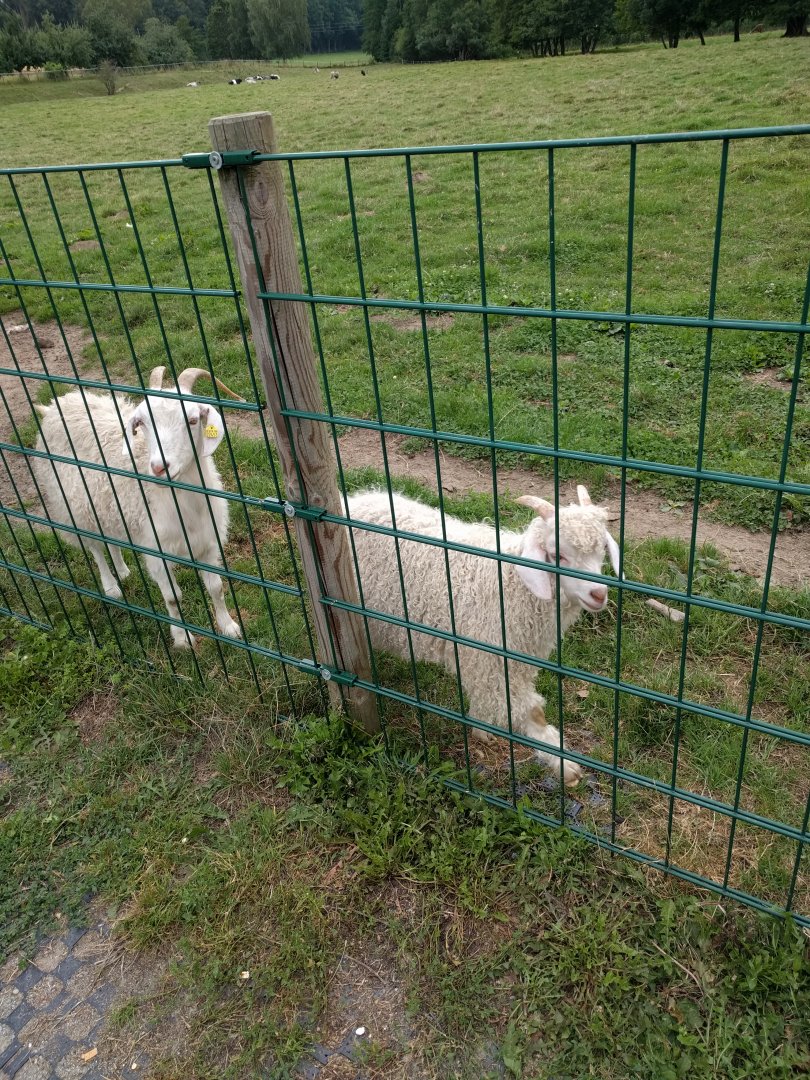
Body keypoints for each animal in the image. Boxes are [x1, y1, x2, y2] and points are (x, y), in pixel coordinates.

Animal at [32, 366, 242, 649]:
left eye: (193, 420)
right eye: (142, 422)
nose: (159, 467)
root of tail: (56, 406)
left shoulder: (207, 542)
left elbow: (216, 588)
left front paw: (228, 627)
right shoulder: (156, 552)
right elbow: (173, 597)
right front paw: (182, 639)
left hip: (106, 505)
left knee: (110, 540)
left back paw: (122, 571)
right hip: (74, 507)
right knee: (95, 547)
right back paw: (111, 586)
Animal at [346, 486, 620, 785]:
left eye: (601, 550)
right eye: (557, 555)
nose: (598, 594)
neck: (511, 584)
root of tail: (351, 501)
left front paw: (482, 728)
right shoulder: (488, 659)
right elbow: (531, 712)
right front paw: (564, 765)